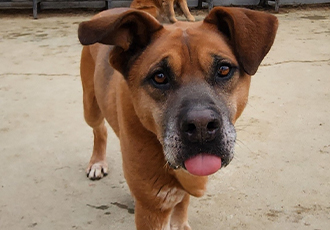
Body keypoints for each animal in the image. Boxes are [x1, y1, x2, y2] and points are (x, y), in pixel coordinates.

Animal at [78, 7, 278, 230]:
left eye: (224, 69)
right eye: (159, 77)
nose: (201, 127)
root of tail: (107, 11)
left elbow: (183, 199)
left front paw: (180, 221)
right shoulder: (153, 208)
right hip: (91, 108)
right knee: (99, 129)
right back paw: (97, 162)